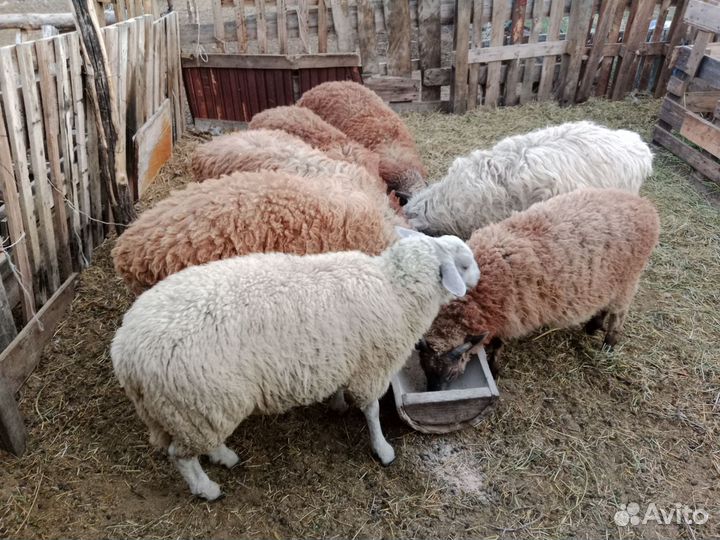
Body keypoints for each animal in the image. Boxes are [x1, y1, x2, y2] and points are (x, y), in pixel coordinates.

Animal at [110, 228, 480, 500]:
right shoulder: (372, 367)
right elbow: (372, 411)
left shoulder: (344, 358)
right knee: (181, 456)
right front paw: (383, 449)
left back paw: (224, 457)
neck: (394, 290)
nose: (478, 277)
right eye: (463, 264)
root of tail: (125, 351)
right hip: (197, 403)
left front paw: (337, 404)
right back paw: (207, 488)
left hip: (197, 407)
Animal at [417, 188, 659, 391]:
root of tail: (645, 206)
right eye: (424, 368)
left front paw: (495, 370)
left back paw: (608, 346)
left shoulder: (509, 318)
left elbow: (497, 346)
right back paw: (593, 326)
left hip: (628, 280)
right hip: (610, 282)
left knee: (618, 315)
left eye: (451, 373)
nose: (434, 392)